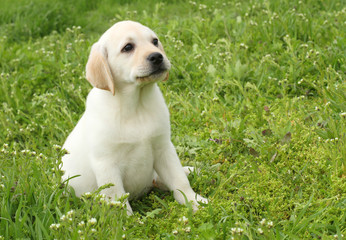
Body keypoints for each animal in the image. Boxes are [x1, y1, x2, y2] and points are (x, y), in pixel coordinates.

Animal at [61, 20, 208, 215]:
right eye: (128, 47)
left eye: (155, 41)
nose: (157, 57)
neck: (136, 105)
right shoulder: (106, 164)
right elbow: (118, 199)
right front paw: (128, 221)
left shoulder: (163, 148)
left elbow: (179, 181)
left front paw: (194, 201)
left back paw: (190, 170)